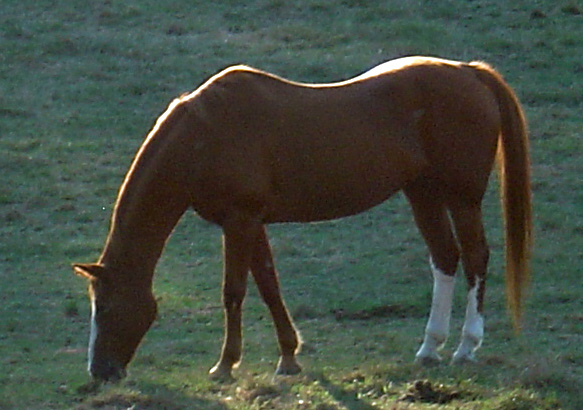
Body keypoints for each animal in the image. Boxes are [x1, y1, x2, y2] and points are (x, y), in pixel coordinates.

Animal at [73, 56, 532, 382]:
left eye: (106, 308)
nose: (100, 372)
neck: (205, 136)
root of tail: (470, 73)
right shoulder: (250, 222)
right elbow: (269, 286)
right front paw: (289, 358)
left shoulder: (239, 221)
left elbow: (234, 291)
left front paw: (225, 365)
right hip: (423, 193)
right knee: (445, 258)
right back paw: (430, 348)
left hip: (462, 198)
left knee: (475, 258)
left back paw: (466, 346)